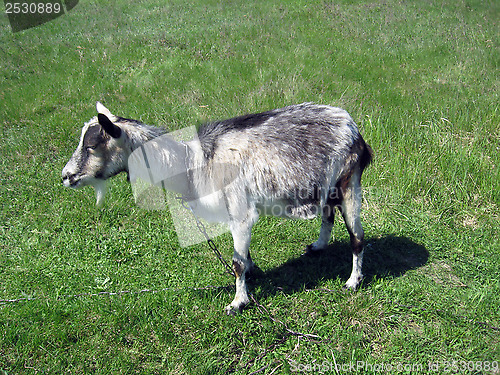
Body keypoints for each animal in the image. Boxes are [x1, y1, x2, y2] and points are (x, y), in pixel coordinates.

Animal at [62, 102, 372, 314]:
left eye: (91, 145)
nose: (66, 177)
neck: (192, 163)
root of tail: (352, 127)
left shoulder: (240, 210)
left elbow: (236, 262)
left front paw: (237, 302)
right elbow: (243, 257)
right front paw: (251, 274)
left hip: (349, 181)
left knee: (357, 237)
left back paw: (352, 281)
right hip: (326, 186)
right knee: (327, 214)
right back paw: (318, 246)